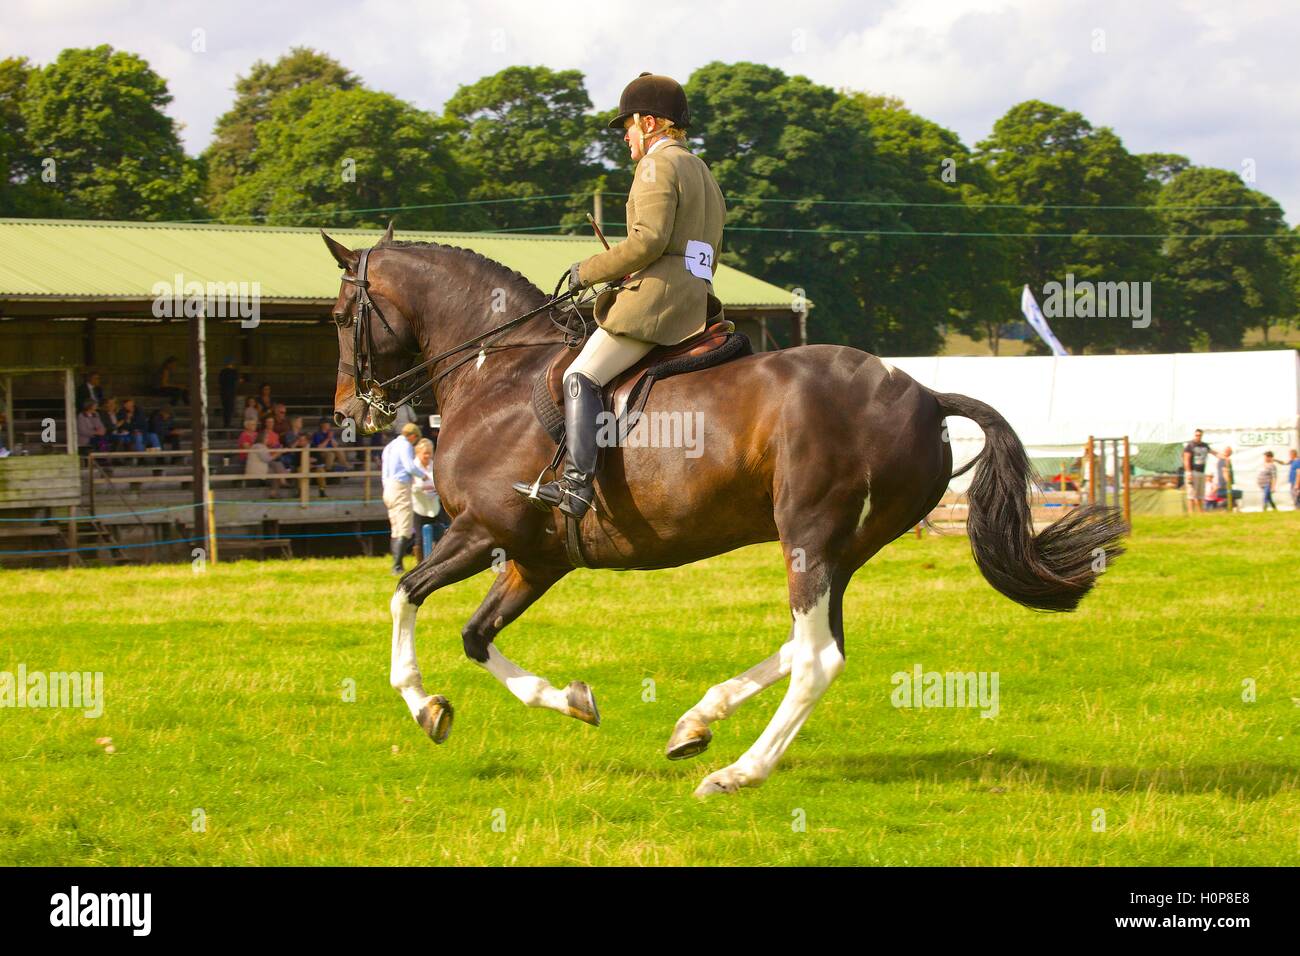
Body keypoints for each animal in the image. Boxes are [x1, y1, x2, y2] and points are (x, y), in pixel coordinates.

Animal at [322, 230, 1128, 801]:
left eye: (337, 316)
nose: (346, 415)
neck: (496, 371)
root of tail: (928, 396)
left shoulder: (481, 532)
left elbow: (404, 596)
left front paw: (424, 707)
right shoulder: (535, 557)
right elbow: (474, 634)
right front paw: (575, 700)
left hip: (809, 536)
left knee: (818, 656)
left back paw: (735, 773)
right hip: (840, 548)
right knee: (812, 642)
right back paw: (697, 723)